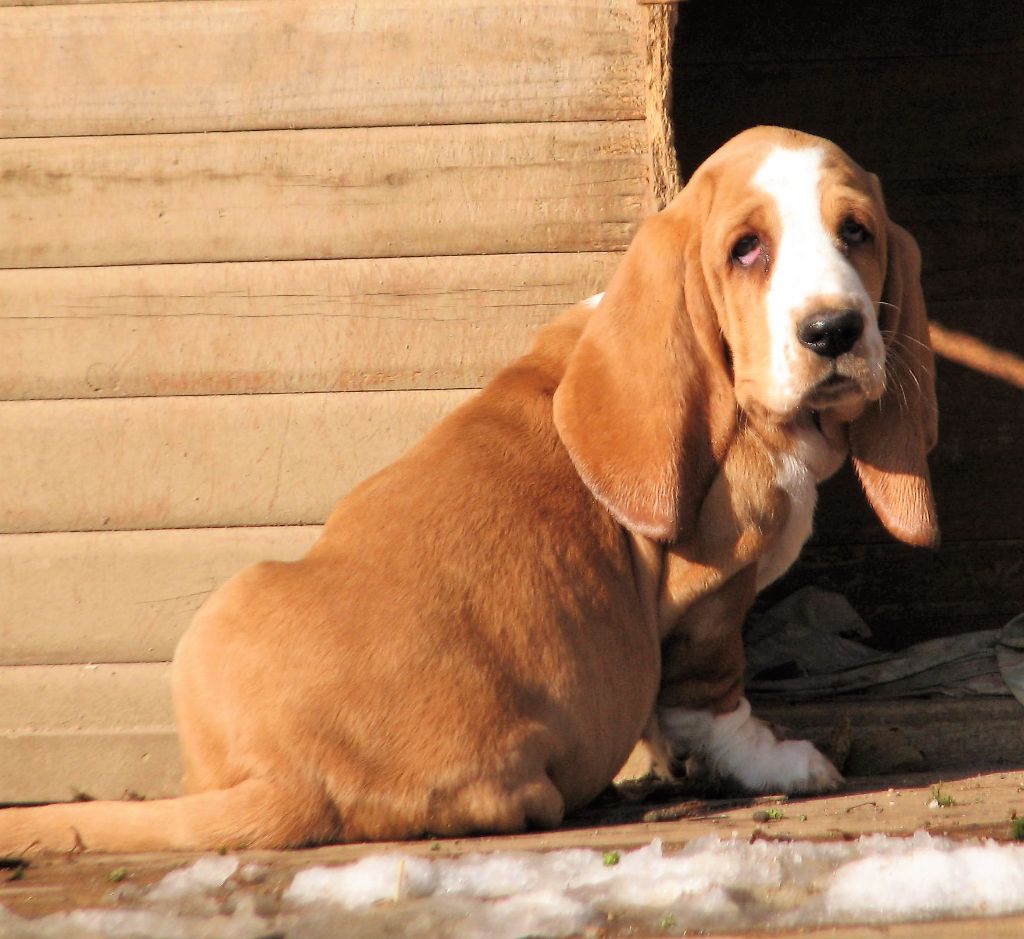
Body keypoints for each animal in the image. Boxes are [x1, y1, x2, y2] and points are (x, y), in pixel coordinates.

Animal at [0, 127, 937, 851]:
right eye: (747, 249)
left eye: (858, 233)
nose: (834, 330)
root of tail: (299, 779)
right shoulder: (711, 594)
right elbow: (713, 695)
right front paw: (777, 761)